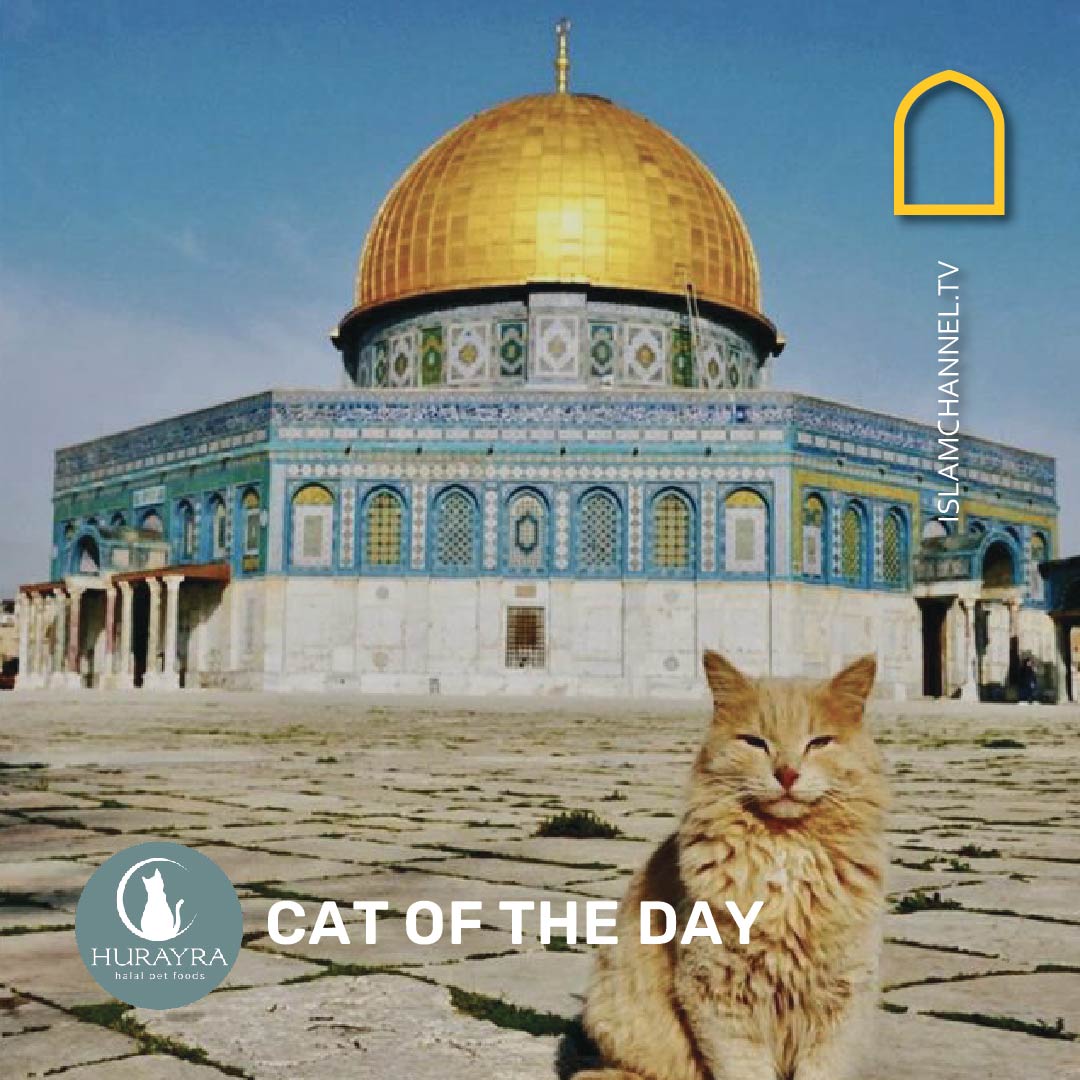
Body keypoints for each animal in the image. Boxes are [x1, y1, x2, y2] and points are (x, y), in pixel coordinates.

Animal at [578, 648, 889, 1080]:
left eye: (819, 742)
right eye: (755, 742)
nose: (787, 773)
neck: (787, 849)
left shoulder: (844, 994)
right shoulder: (716, 992)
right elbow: (744, 1069)